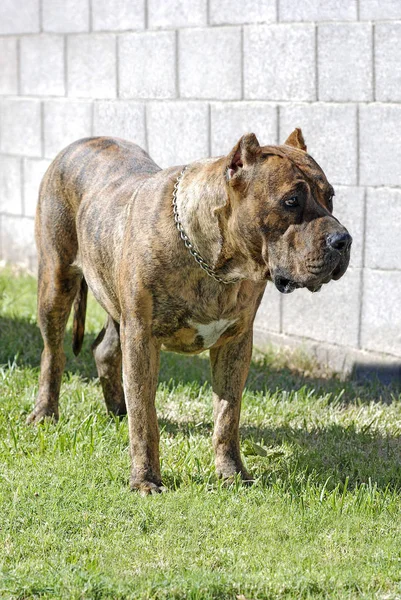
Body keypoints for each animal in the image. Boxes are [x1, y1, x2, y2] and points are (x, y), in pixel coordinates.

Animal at [28, 129, 350, 494]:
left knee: (104, 350)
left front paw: (232, 473)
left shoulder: (236, 342)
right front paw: (145, 480)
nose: (343, 239)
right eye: (291, 201)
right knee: (53, 353)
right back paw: (45, 413)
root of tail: (83, 141)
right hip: (56, 282)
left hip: (113, 300)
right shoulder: (141, 337)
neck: (216, 264)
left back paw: (118, 410)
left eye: (330, 197)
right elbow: (145, 416)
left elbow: (228, 415)